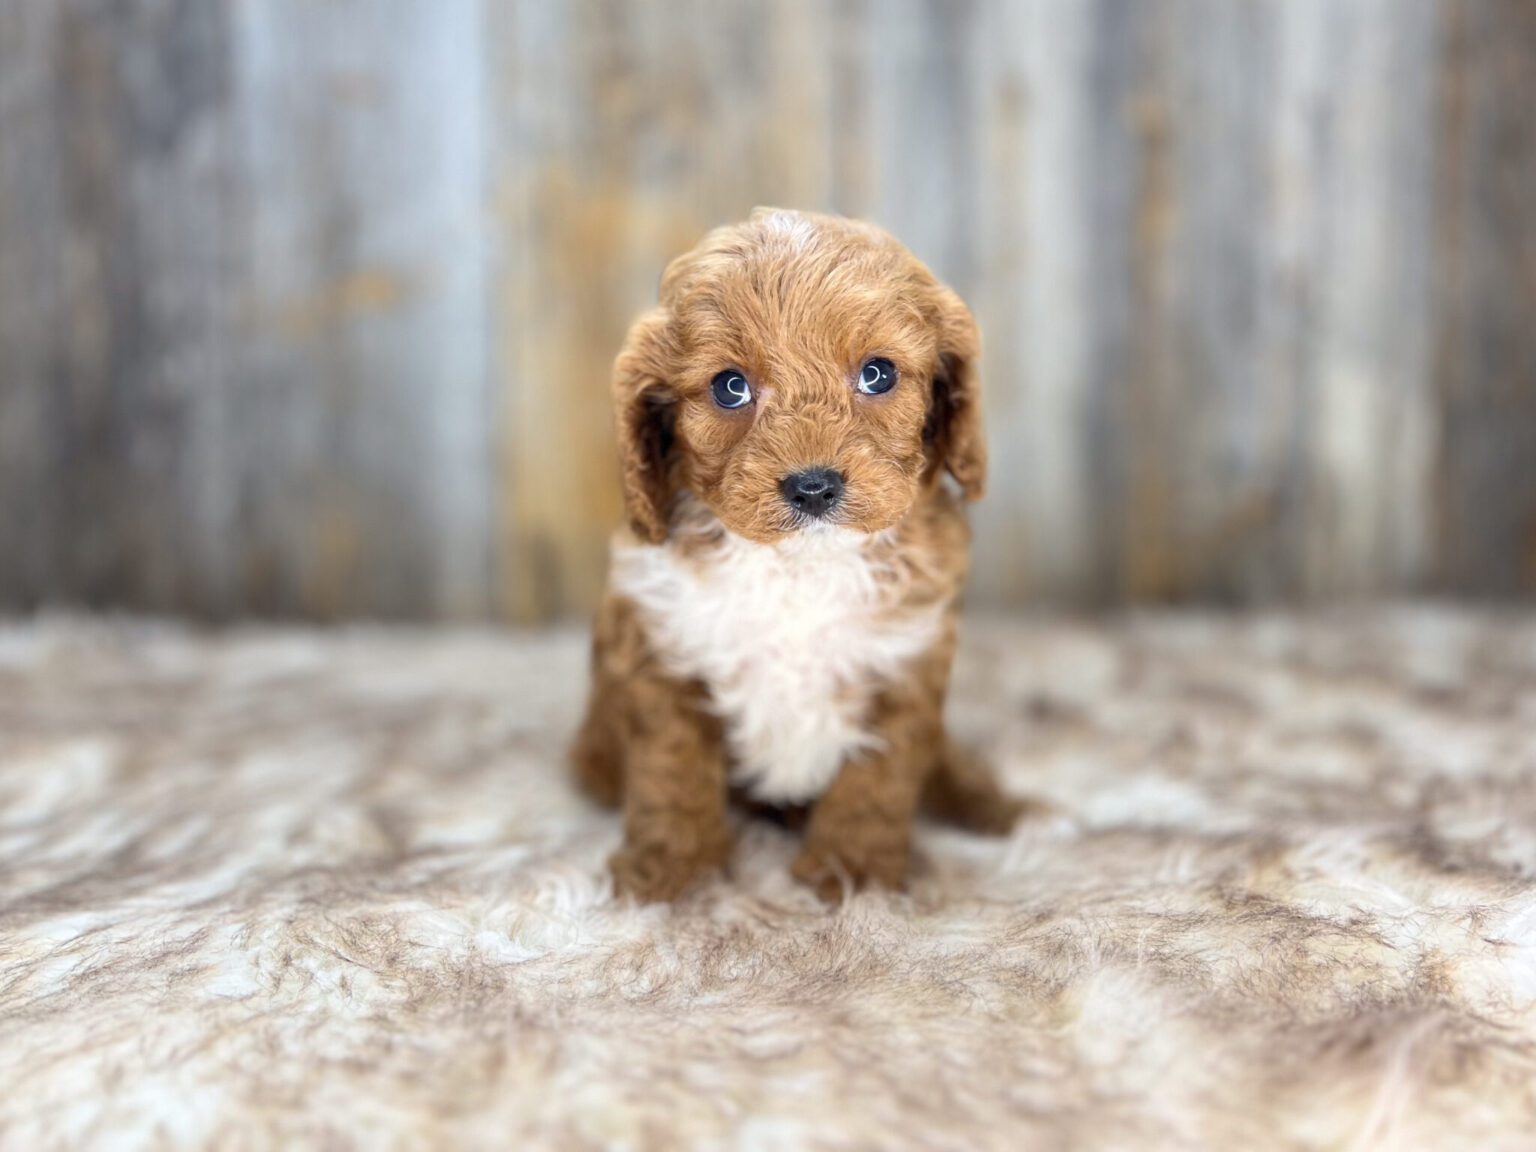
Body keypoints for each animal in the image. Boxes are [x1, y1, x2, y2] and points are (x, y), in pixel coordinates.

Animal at [572, 208, 1027, 902]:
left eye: (877, 374)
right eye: (730, 388)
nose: (813, 487)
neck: (800, 564)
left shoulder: (903, 667)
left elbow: (878, 784)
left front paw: (852, 876)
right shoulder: (662, 654)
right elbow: (671, 774)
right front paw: (671, 875)